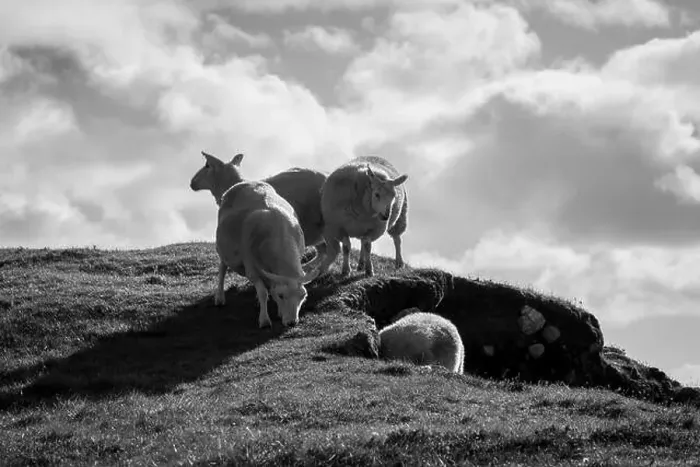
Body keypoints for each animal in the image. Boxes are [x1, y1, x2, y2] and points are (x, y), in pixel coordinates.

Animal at [214, 179, 319, 328]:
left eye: (303, 296)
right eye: (281, 295)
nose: (292, 323)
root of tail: (247, 182)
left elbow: (271, 288)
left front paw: (279, 312)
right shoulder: (250, 266)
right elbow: (264, 293)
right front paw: (264, 320)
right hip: (224, 250)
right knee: (222, 268)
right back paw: (219, 298)